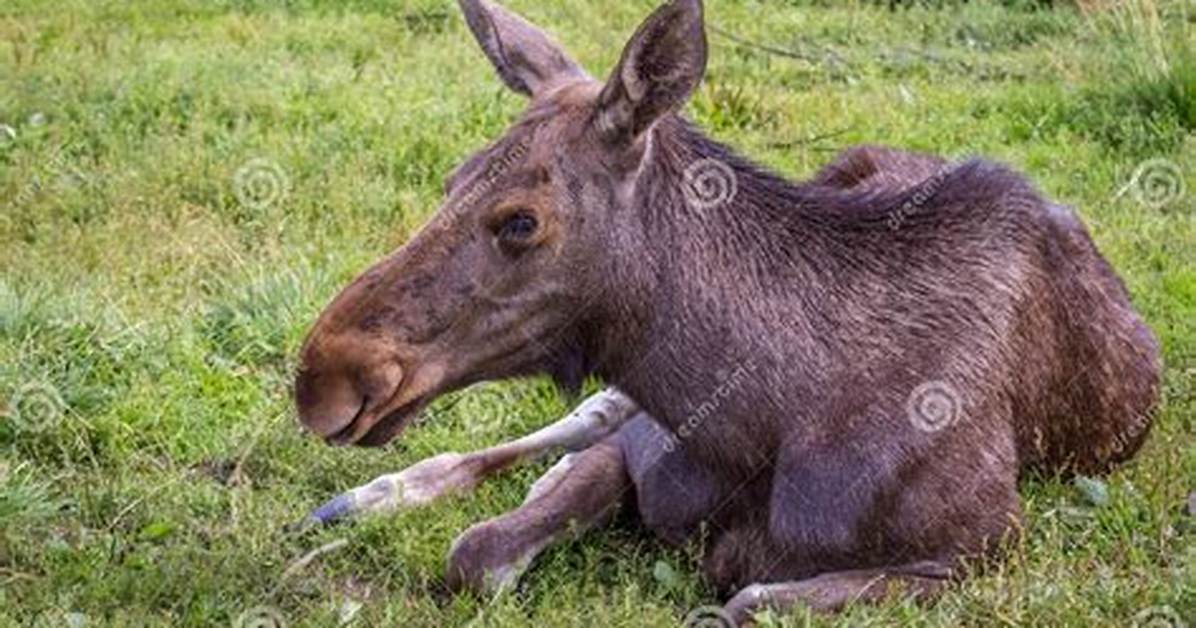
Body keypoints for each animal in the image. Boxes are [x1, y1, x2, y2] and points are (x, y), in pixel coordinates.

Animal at [293, 0, 1162, 623]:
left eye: (520, 221)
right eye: (451, 180)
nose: (322, 375)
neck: (757, 421)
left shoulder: (981, 547)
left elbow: (739, 603)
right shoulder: (643, 440)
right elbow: (478, 550)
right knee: (572, 423)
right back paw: (365, 497)